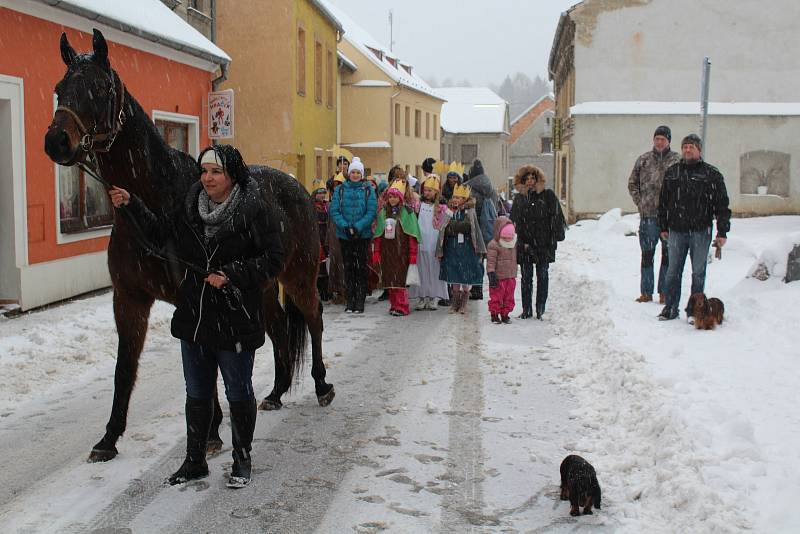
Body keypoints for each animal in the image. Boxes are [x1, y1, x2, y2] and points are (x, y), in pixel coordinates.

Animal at [45, 30, 332, 464]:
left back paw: (321, 385)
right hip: (260, 286)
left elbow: (205, 366)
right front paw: (109, 438)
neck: (154, 200)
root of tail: (300, 187)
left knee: (313, 319)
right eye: (60, 89)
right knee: (280, 328)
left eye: (100, 88)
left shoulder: (194, 294)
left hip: (299, 275)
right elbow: (124, 369)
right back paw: (276, 392)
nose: (57, 141)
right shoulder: (129, 298)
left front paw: (211, 432)